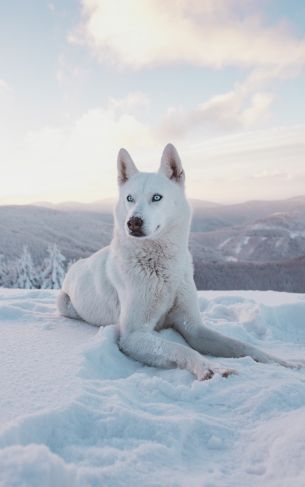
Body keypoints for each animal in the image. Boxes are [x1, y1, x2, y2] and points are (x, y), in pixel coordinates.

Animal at [57, 143, 294, 380]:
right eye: (130, 198)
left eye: (156, 197)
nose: (133, 222)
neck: (161, 268)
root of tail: (76, 265)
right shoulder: (134, 335)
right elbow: (182, 349)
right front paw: (211, 367)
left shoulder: (194, 327)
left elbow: (241, 346)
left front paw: (283, 362)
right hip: (64, 304)